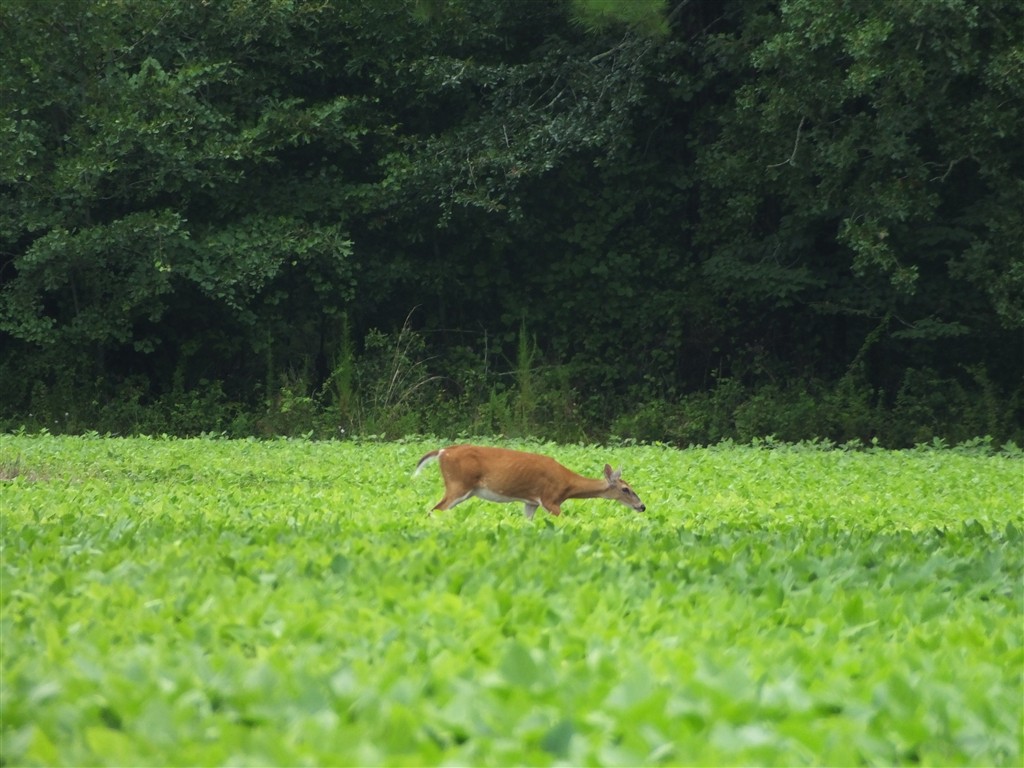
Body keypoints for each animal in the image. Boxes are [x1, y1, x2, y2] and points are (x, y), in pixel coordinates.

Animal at [414, 444, 646, 518]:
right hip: (458, 485)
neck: (567, 485)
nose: (642, 506)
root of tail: (441, 452)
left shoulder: (531, 502)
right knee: (435, 510)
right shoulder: (550, 500)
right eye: (626, 489)